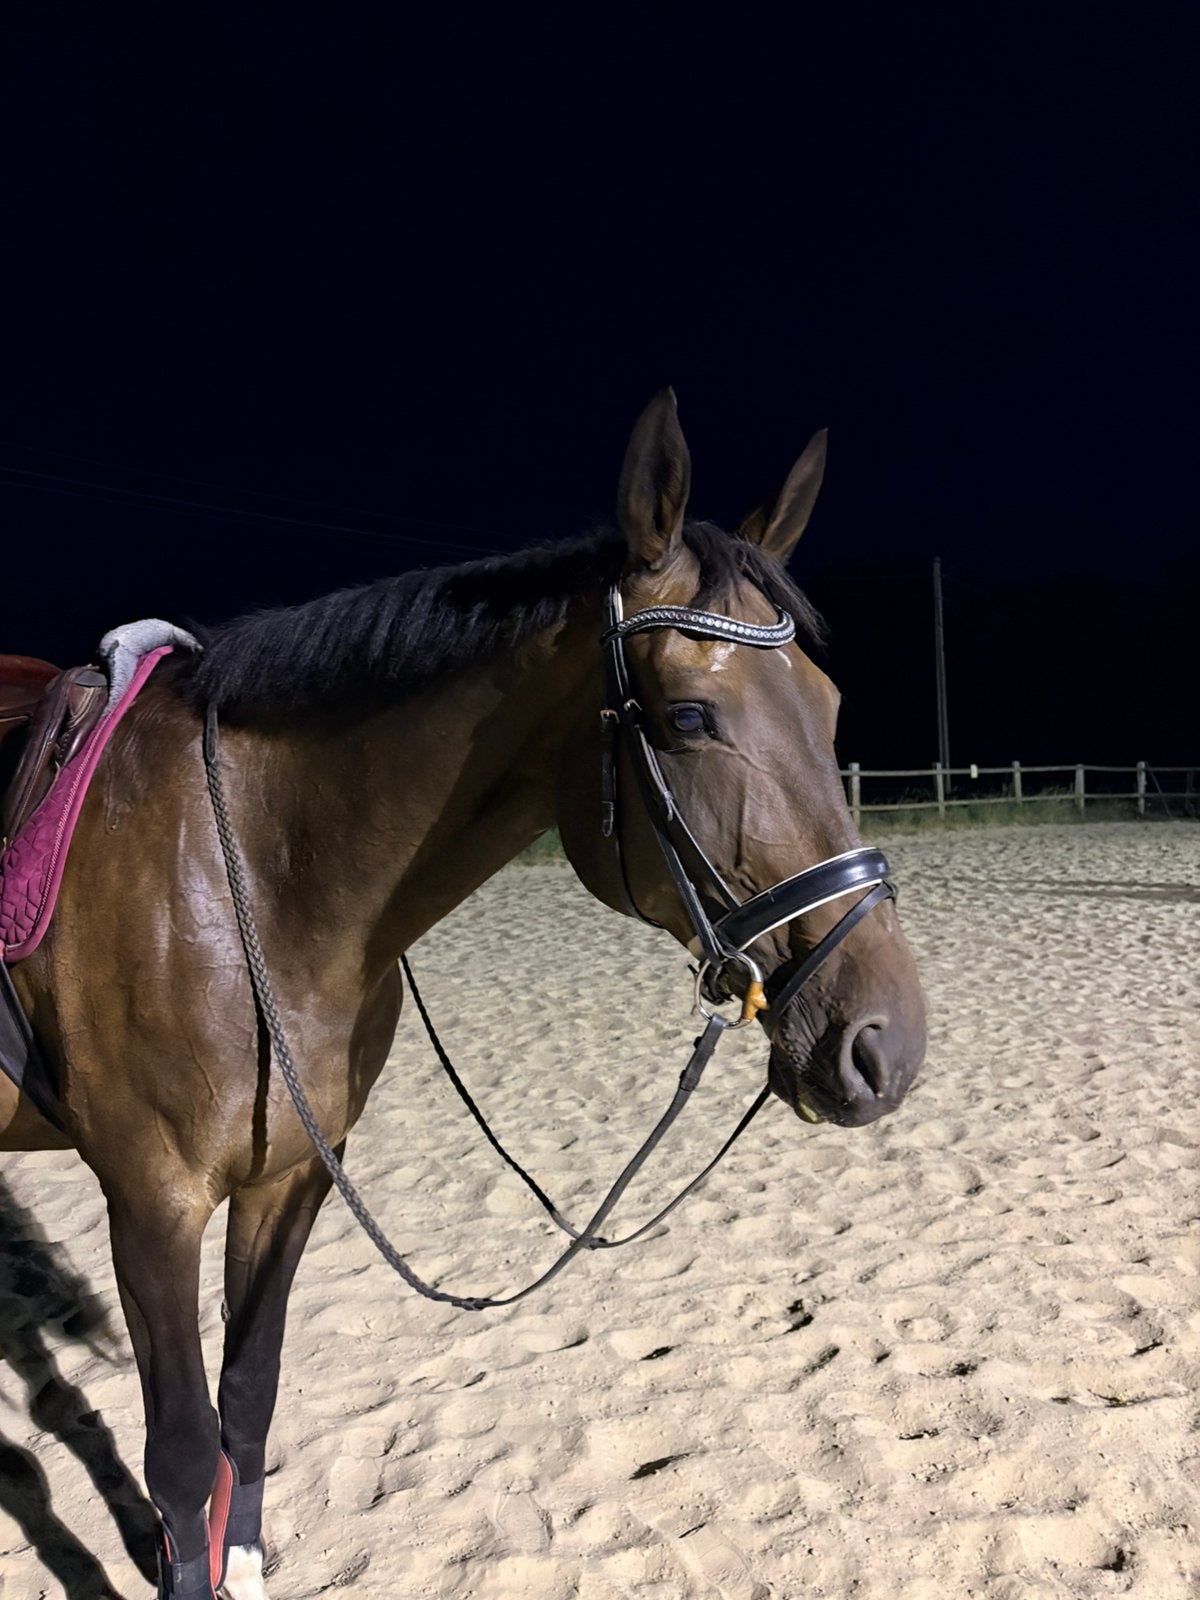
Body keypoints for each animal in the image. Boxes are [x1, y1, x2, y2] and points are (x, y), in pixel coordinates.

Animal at [0, 390, 926, 1598]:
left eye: (828, 703)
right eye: (688, 719)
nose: (887, 1047)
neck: (248, 866)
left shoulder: (291, 1177)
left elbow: (248, 1399)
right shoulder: (150, 1201)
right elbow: (181, 1448)